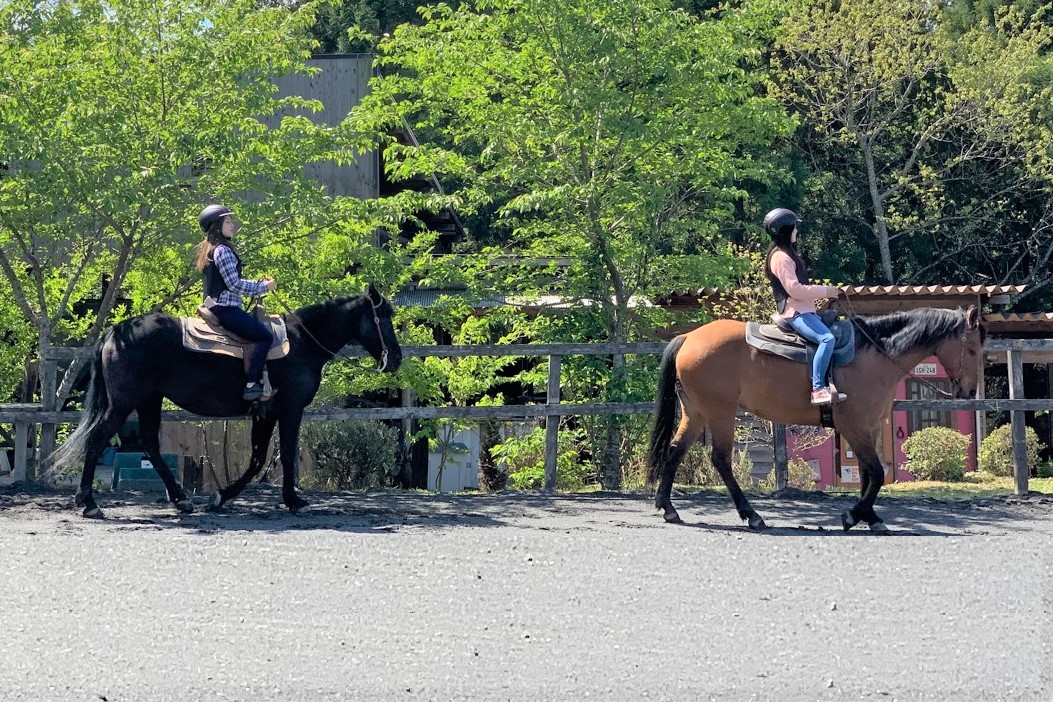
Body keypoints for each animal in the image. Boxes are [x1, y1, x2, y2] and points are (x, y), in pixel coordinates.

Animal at [55, 282, 404, 519]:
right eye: (384, 316)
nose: (397, 359)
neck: (302, 343)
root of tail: (115, 332)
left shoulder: (264, 413)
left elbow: (257, 459)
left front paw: (221, 497)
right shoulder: (289, 410)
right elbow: (284, 456)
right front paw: (294, 501)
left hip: (149, 400)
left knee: (150, 444)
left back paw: (181, 499)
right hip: (124, 402)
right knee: (99, 439)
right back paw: (88, 503)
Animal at [644, 307, 981, 532]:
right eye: (973, 348)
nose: (969, 390)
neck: (873, 356)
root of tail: (688, 337)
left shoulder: (868, 428)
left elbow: (868, 474)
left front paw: (871, 518)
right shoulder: (854, 426)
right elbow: (876, 473)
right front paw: (853, 516)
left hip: (696, 412)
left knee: (675, 451)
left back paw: (669, 509)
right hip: (720, 412)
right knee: (721, 459)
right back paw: (752, 514)